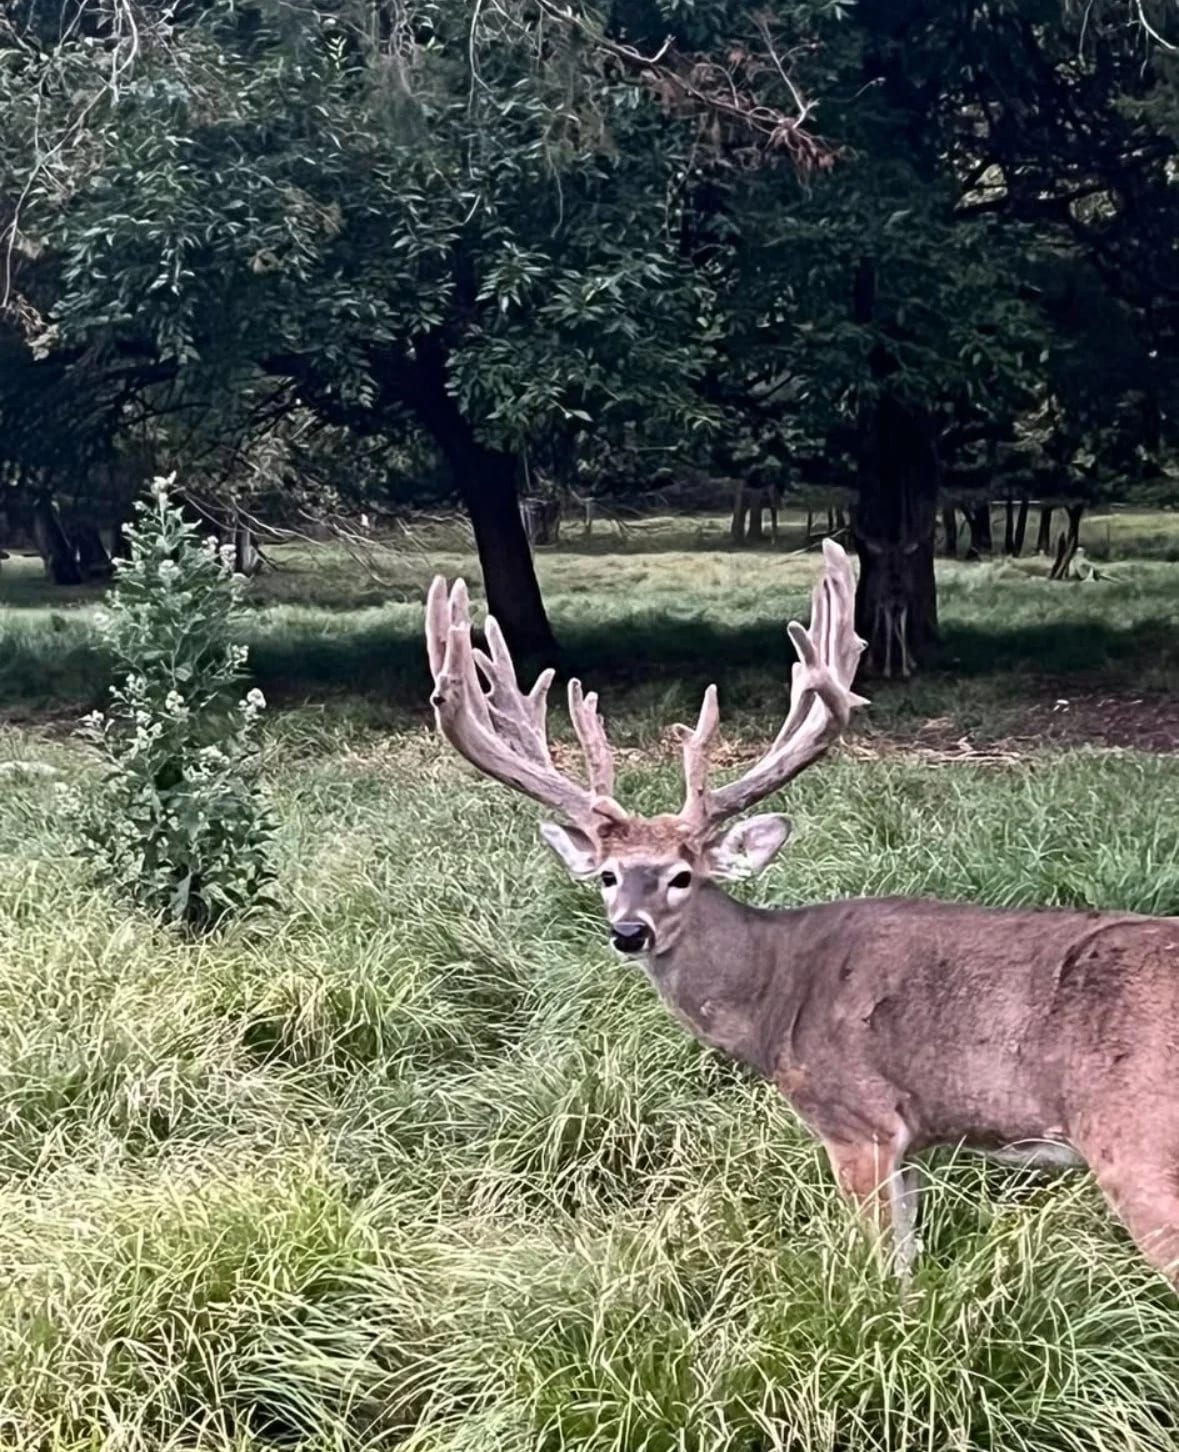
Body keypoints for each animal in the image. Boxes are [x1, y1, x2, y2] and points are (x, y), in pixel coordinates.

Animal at [425, 541, 1179, 1286]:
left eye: (682, 876)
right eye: (608, 875)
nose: (629, 932)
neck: (775, 997)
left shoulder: (857, 1118)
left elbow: (883, 1269)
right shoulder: (912, 1140)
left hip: (1138, 1144)